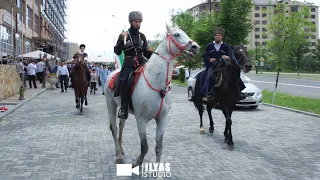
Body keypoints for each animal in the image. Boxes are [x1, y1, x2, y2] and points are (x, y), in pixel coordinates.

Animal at [105, 22, 200, 170]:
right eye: (176, 34)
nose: (196, 47)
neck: (156, 82)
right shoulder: (141, 119)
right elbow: (144, 147)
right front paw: (136, 163)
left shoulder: (162, 119)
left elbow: (158, 147)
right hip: (111, 104)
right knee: (114, 128)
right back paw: (119, 156)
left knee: (121, 126)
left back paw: (121, 149)